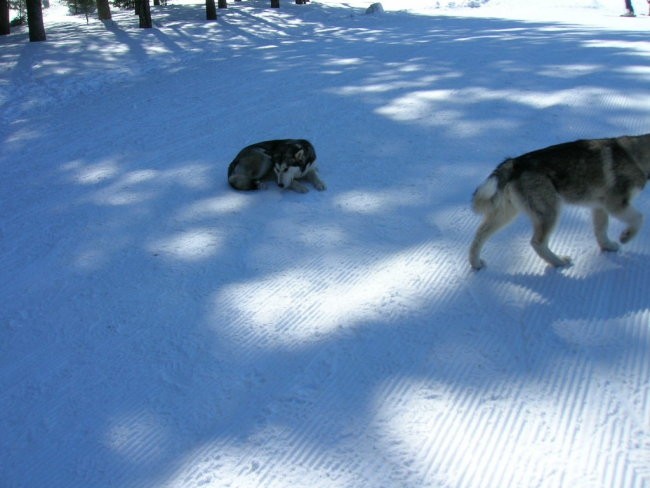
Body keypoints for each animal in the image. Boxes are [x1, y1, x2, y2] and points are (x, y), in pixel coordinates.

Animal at [468, 133, 648, 268]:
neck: (638, 155)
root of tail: (515, 162)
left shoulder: (600, 206)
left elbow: (601, 230)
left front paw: (608, 246)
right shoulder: (615, 204)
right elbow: (639, 219)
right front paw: (626, 236)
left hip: (507, 214)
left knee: (479, 234)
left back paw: (475, 263)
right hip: (550, 211)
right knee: (537, 242)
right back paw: (559, 262)